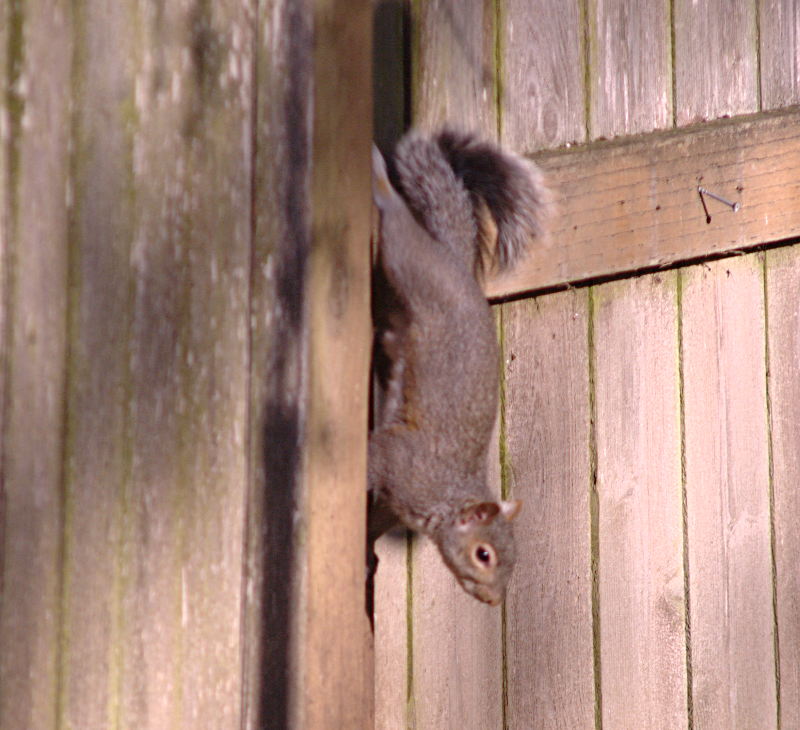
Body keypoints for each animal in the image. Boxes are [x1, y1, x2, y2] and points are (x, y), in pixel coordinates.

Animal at [368, 129, 549, 606]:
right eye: (483, 554)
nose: (493, 600)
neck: (446, 495)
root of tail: (455, 263)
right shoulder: (402, 463)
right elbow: (376, 455)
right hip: (412, 267)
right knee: (397, 226)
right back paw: (380, 179)